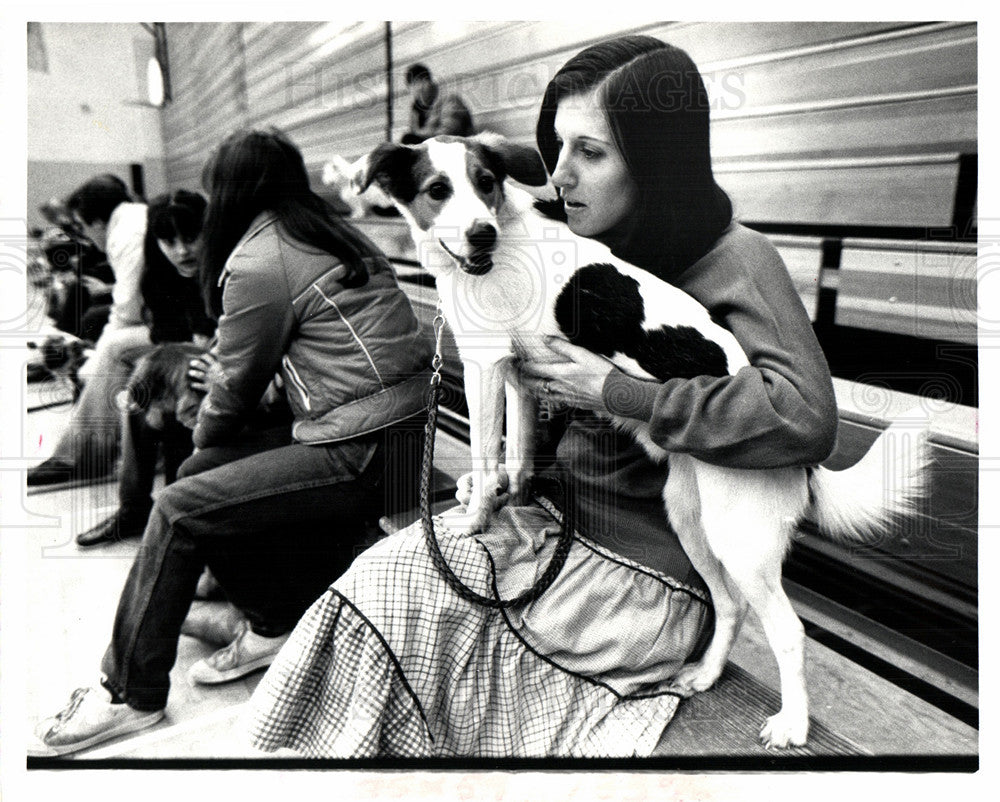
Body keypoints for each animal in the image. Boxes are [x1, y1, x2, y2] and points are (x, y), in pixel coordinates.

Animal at [354, 133, 928, 752]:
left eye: (485, 181)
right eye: (437, 189)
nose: (482, 233)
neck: (494, 245)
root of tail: (806, 461)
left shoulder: (486, 366)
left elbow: (488, 462)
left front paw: (477, 520)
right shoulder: (519, 379)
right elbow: (519, 458)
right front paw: (518, 506)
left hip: (741, 541)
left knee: (788, 630)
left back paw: (793, 723)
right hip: (691, 517)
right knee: (729, 606)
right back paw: (706, 674)